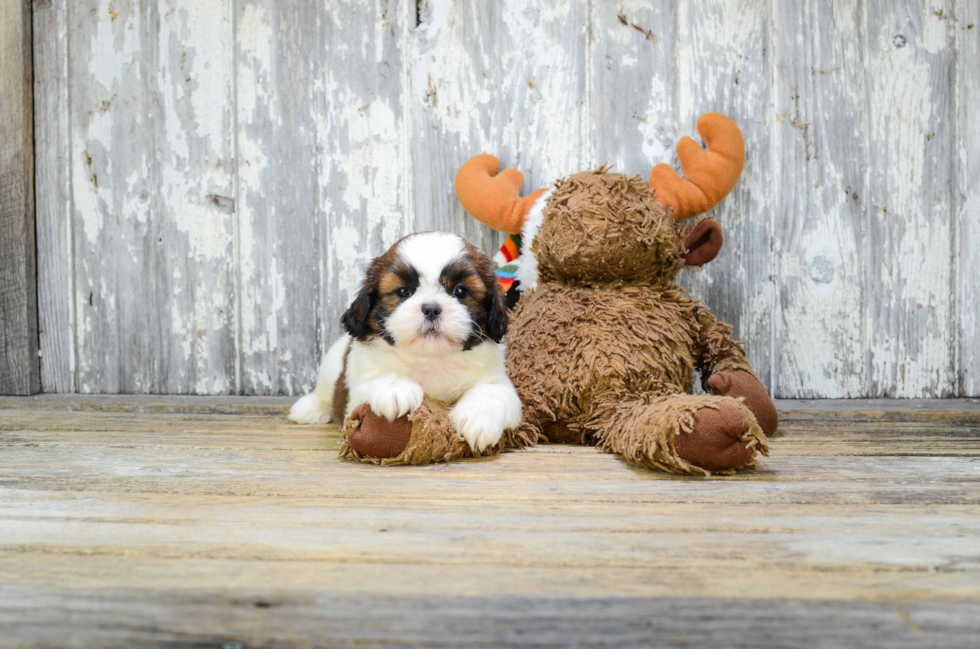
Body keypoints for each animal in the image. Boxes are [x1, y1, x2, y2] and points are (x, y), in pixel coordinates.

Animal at [290, 232, 524, 450]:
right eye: (403, 291)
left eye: (460, 291)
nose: (431, 308)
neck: (431, 358)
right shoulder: (356, 392)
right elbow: (374, 381)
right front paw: (395, 389)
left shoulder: (499, 381)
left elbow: (492, 390)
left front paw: (478, 420)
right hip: (330, 365)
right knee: (324, 393)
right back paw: (309, 408)